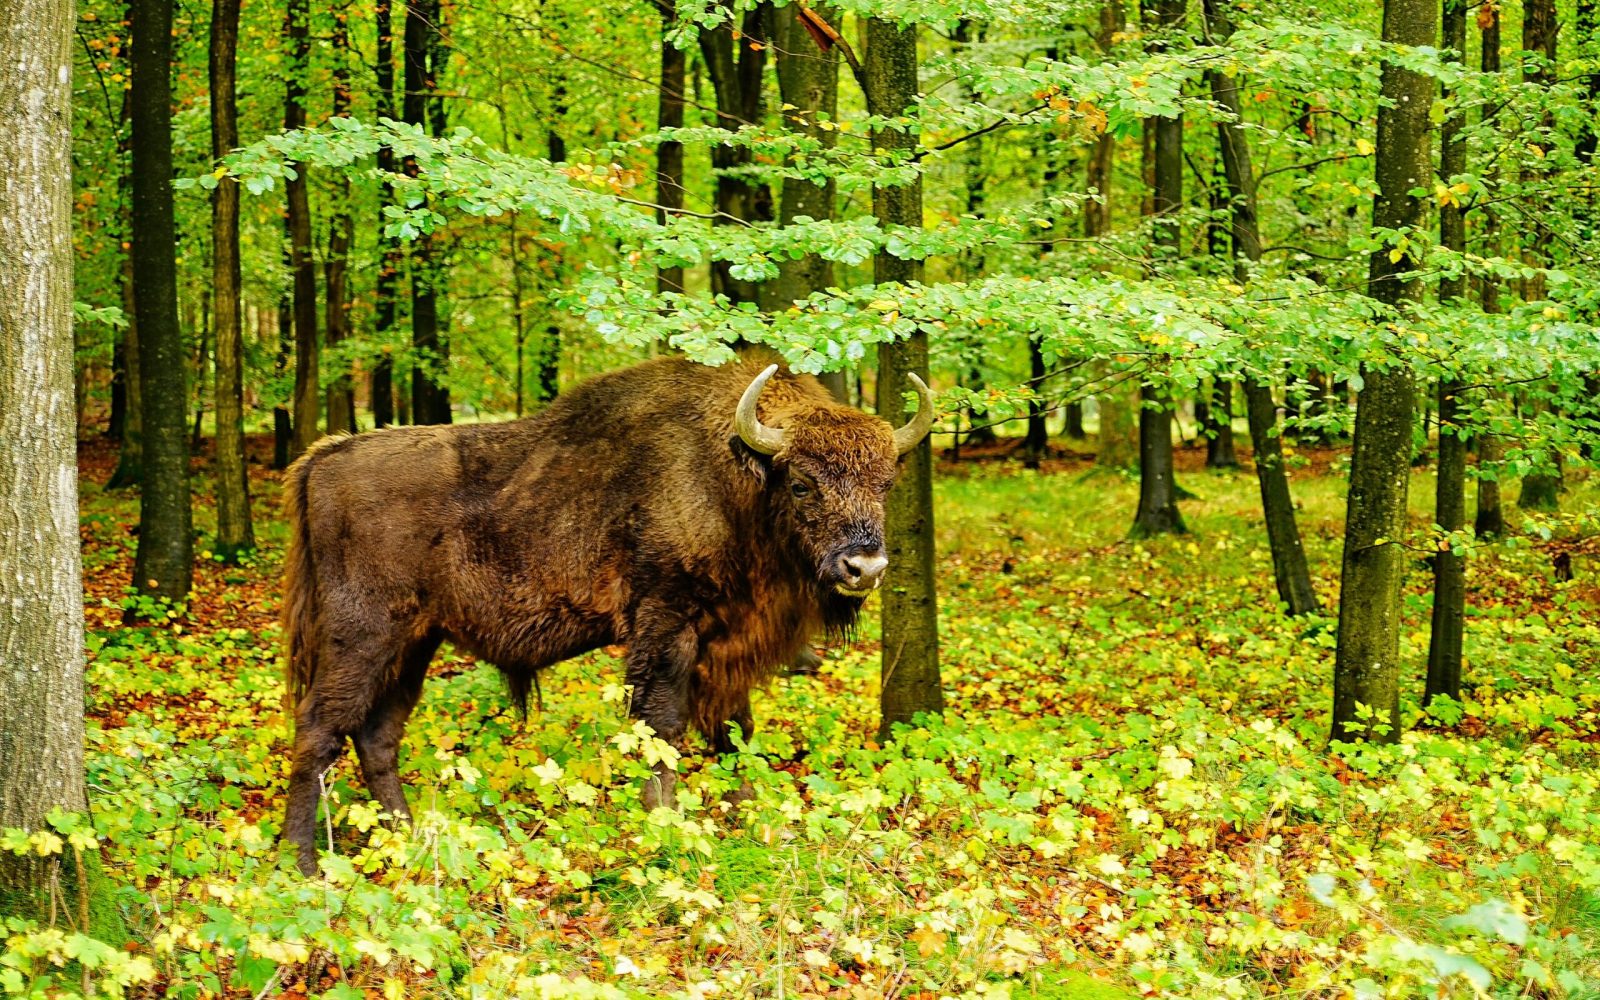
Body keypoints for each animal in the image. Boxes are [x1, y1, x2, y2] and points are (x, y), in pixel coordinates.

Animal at [280, 355, 933, 874]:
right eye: (801, 483)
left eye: (886, 483)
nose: (863, 567)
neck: (729, 475)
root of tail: (324, 457)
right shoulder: (666, 624)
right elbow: (661, 725)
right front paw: (665, 824)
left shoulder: (724, 647)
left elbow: (735, 730)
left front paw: (748, 815)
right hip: (363, 634)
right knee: (319, 726)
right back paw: (302, 861)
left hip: (415, 642)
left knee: (376, 735)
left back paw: (409, 836)